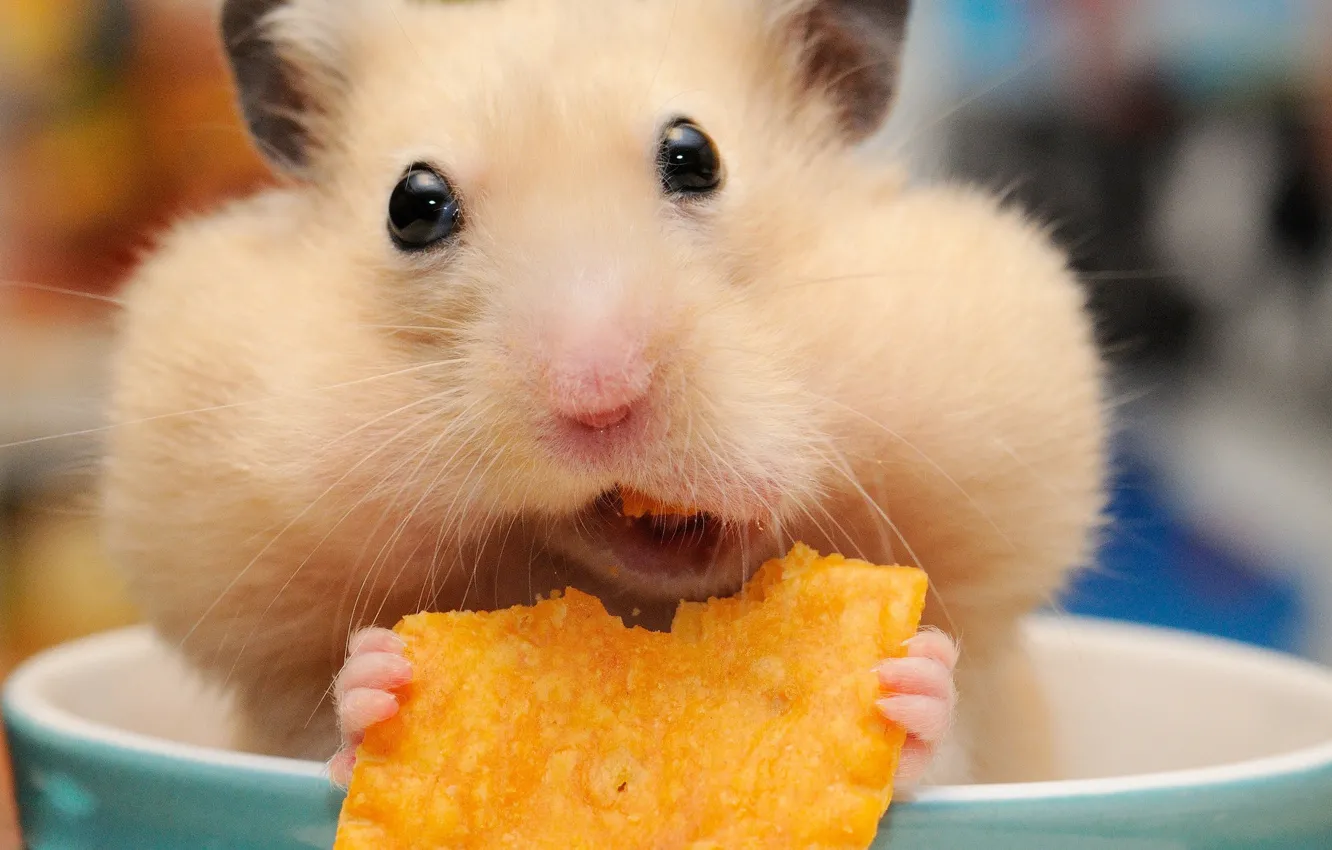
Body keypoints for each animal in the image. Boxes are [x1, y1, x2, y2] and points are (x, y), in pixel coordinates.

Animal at [101, 0, 1106, 787]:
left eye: (694, 156)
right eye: (413, 205)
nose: (597, 396)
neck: (646, 605)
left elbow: (950, 740)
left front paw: (905, 682)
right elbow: (317, 731)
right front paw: (380, 686)